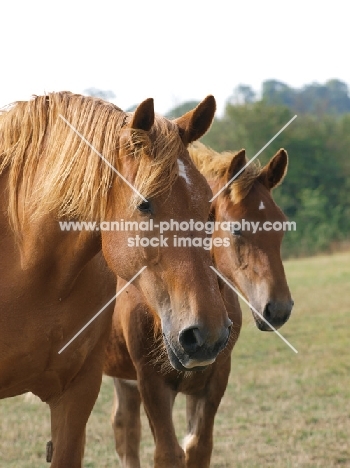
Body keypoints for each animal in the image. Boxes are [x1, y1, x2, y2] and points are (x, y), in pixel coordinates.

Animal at [104, 141, 296, 466]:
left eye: (281, 226)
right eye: (236, 229)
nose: (278, 309)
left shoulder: (213, 379)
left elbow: (198, 447)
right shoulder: (152, 382)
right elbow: (168, 453)